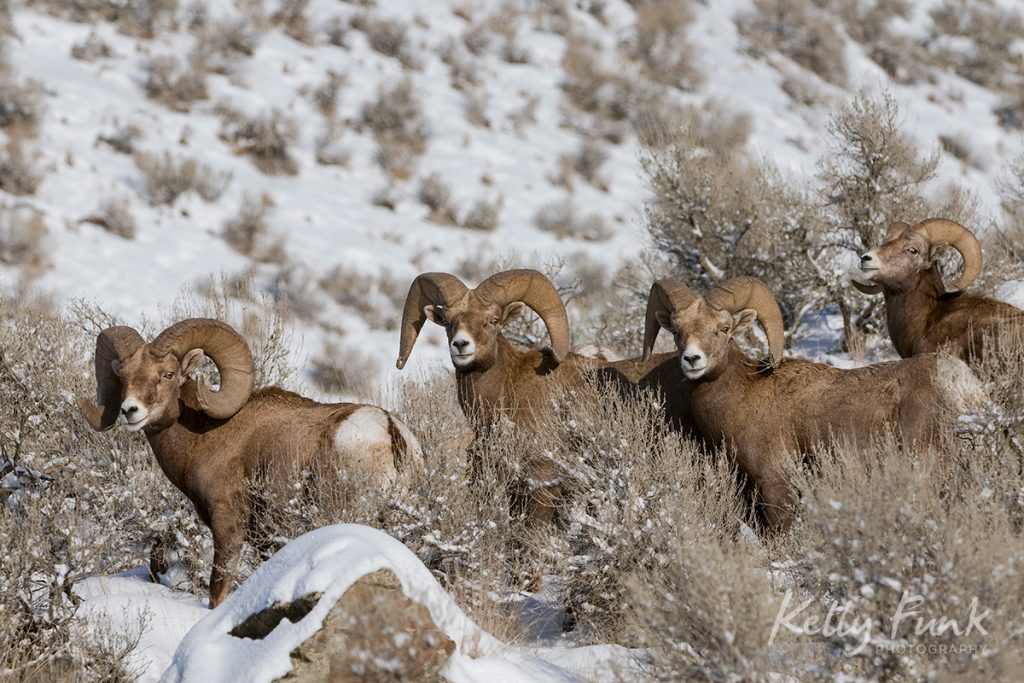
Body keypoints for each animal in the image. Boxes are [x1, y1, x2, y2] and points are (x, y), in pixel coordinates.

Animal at [74, 317, 419, 606]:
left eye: (168, 374)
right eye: (124, 377)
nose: (130, 411)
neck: (204, 434)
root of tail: (387, 429)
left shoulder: (229, 523)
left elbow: (218, 589)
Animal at [647, 274, 983, 532]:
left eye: (723, 329)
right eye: (677, 332)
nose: (692, 359)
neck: (744, 394)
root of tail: (961, 383)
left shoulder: (776, 486)